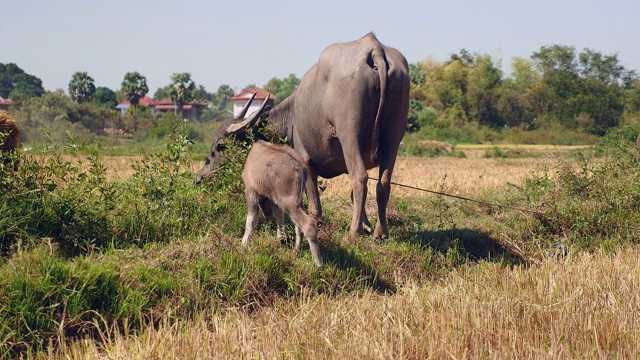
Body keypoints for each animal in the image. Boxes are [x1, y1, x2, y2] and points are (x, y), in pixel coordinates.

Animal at [196, 32, 410, 238]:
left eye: (220, 146)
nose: (199, 177)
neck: (290, 116)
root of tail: (373, 48)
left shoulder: (304, 159)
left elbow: (313, 198)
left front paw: (320, 222)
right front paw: (366, 225)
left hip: (349, 135)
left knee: (359, 177)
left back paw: (353, 232)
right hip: (392, 136)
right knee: (383, 182)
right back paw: (381, 232)